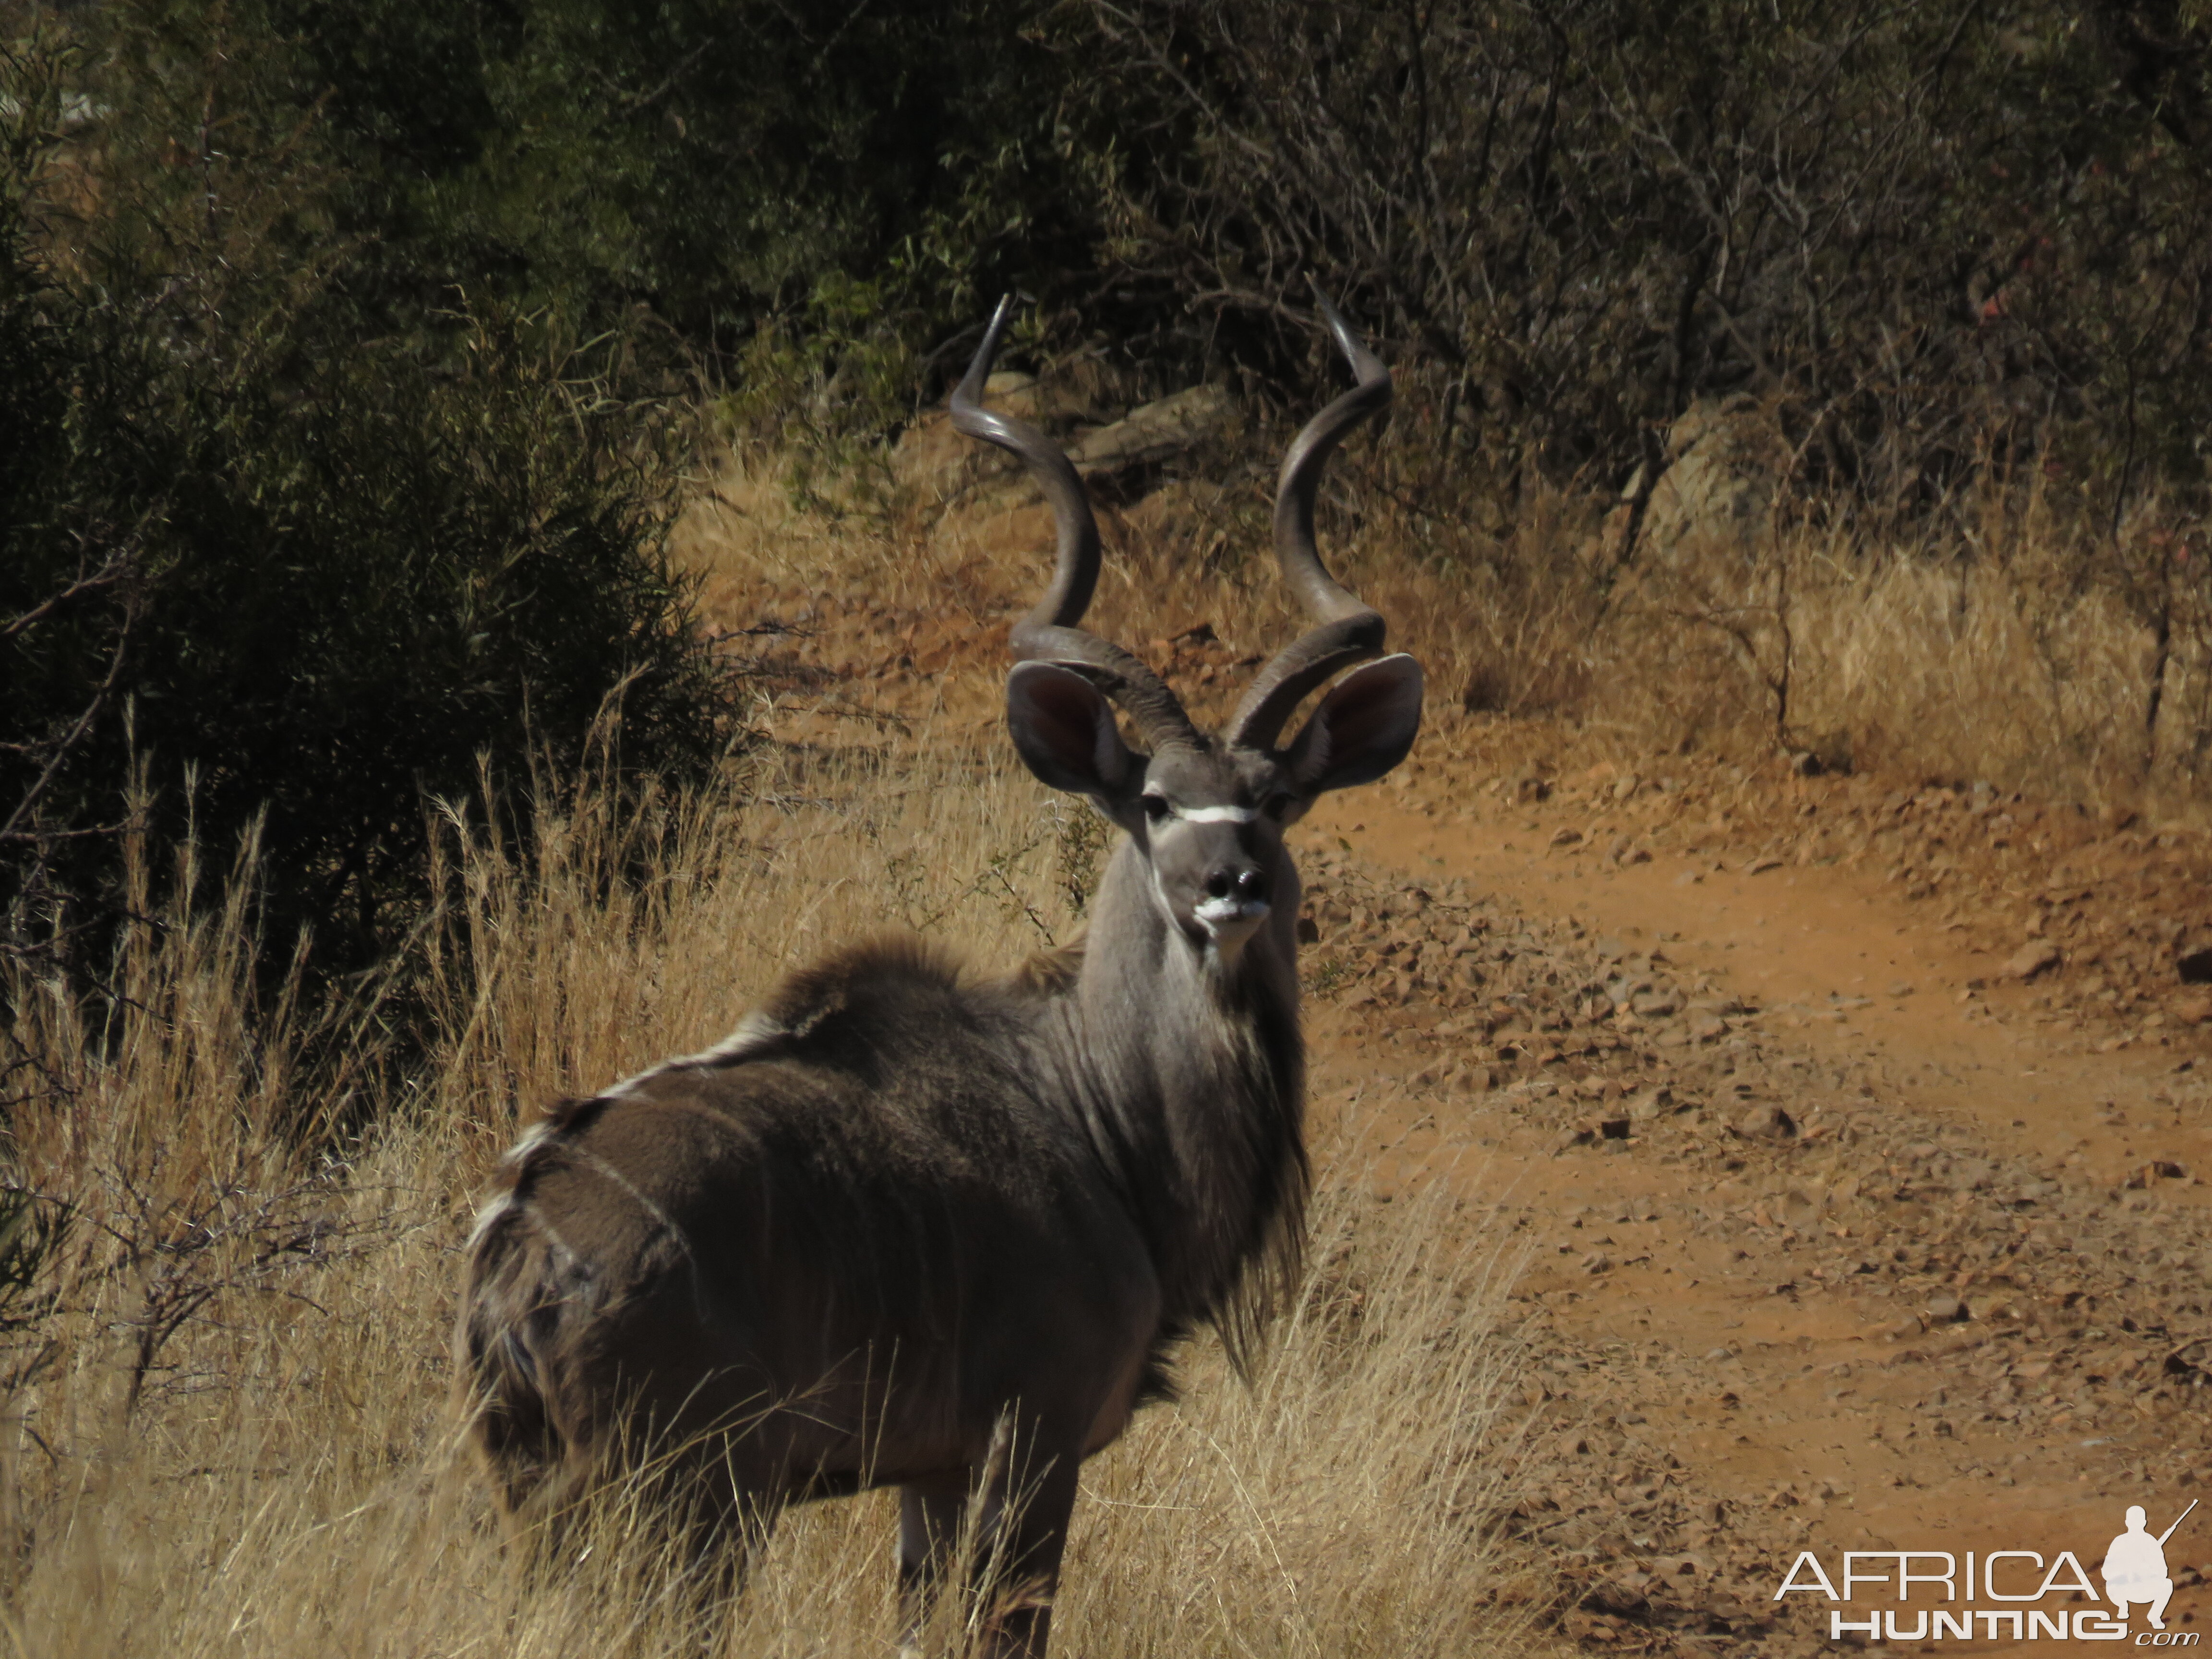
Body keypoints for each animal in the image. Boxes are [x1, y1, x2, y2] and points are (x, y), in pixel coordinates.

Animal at [457, 292, 1424, 1654]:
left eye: (1278, 801)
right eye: (1157, 803)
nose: (1232, 884)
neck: (1093, 1110)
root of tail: (516, 1265)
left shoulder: (931, 1472)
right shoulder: (1034, 1443)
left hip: (554, 1512)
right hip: (691, 1508)